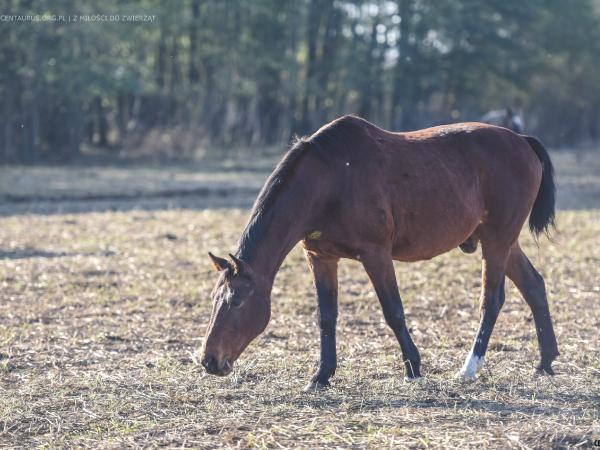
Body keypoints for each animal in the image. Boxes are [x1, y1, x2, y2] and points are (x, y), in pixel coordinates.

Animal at [200, 114, 556, 388]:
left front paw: (413, 367)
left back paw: (469, 368)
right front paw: (321, 375)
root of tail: (521, 141)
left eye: (236, 302)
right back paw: (545, 361)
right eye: (215, 299)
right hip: (502, 242)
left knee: (491, 301)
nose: (209, 360)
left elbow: (393, 311)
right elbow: (326, 317)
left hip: (497, 241)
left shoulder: (376, 255)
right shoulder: (321, 257)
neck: (330, 180)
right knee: (534, 286)